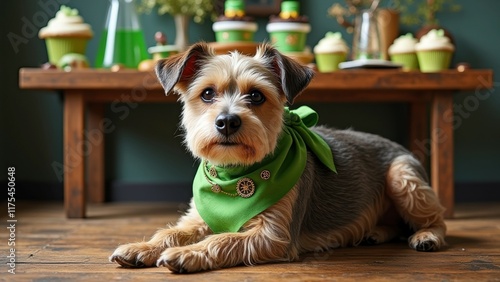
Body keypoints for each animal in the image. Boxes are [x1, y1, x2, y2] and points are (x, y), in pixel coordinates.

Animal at [109, 42, 446, 274]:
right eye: (207, 94)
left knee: (437, 219)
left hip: (403, 177)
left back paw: (427, 235)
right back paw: (375, 233)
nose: (227, 121)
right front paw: (142, 247)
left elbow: (224, 240)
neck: (233, 175)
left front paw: (188, 254)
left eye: (256, 96)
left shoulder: (274, 235)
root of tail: (403, 148)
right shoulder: (200, 217)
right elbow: (170, 232)